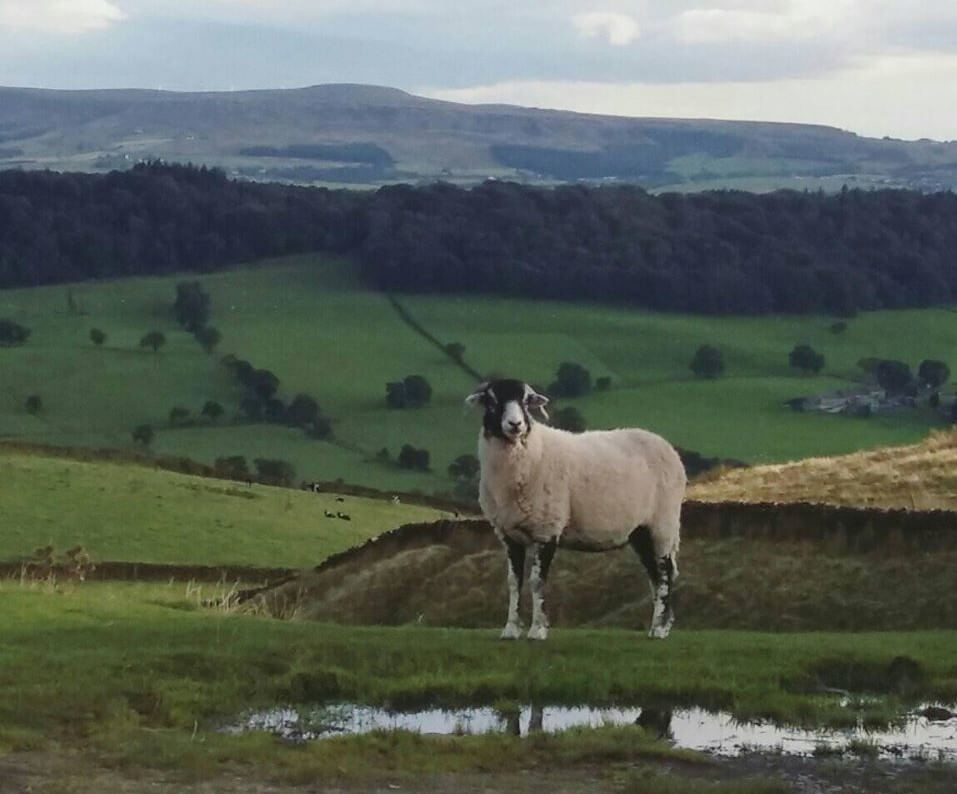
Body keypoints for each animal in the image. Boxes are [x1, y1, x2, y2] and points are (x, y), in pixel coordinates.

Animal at [465, 378, 686, 641]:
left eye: (526, 402)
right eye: (491, 401)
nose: (516, 424)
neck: (530, 454)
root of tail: (668, 447)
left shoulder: (547, 529)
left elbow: (536, 581)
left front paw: (538, 630)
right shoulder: (508, 534)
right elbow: (512, 582)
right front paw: (510, 629)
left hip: (662, 523)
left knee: (664, 573)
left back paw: (661, 629)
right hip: (640, 531)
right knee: (655, 574)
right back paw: (658, 625)